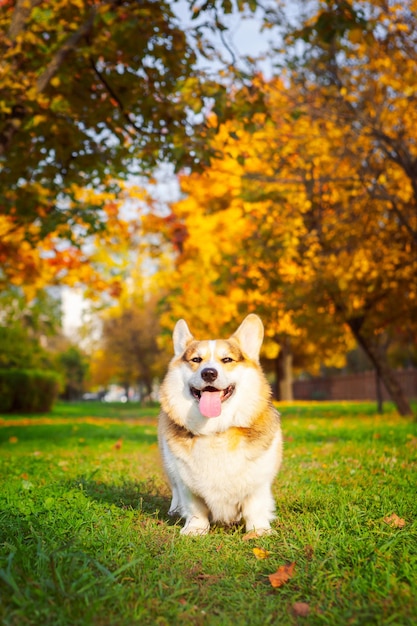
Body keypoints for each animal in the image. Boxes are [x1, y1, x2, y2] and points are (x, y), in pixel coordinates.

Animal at [158, 314, 282, 532]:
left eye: (227, 360)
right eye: (196, 360)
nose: (209, 373)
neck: (215, 428)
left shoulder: (258, 481)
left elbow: (255, 506)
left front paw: (259, 531)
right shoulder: (186, 481)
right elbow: (195, 507)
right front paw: (195, 530)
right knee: (175, 490)